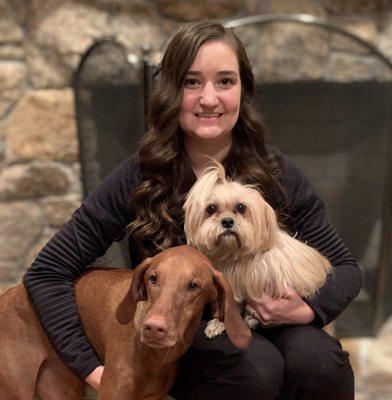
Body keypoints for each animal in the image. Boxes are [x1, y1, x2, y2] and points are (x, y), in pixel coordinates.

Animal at [183, 161, 330, 336]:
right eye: (211, 209)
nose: (227, 221)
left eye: (241, 207)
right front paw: (219, 323)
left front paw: (250, 319)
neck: (235, 256)